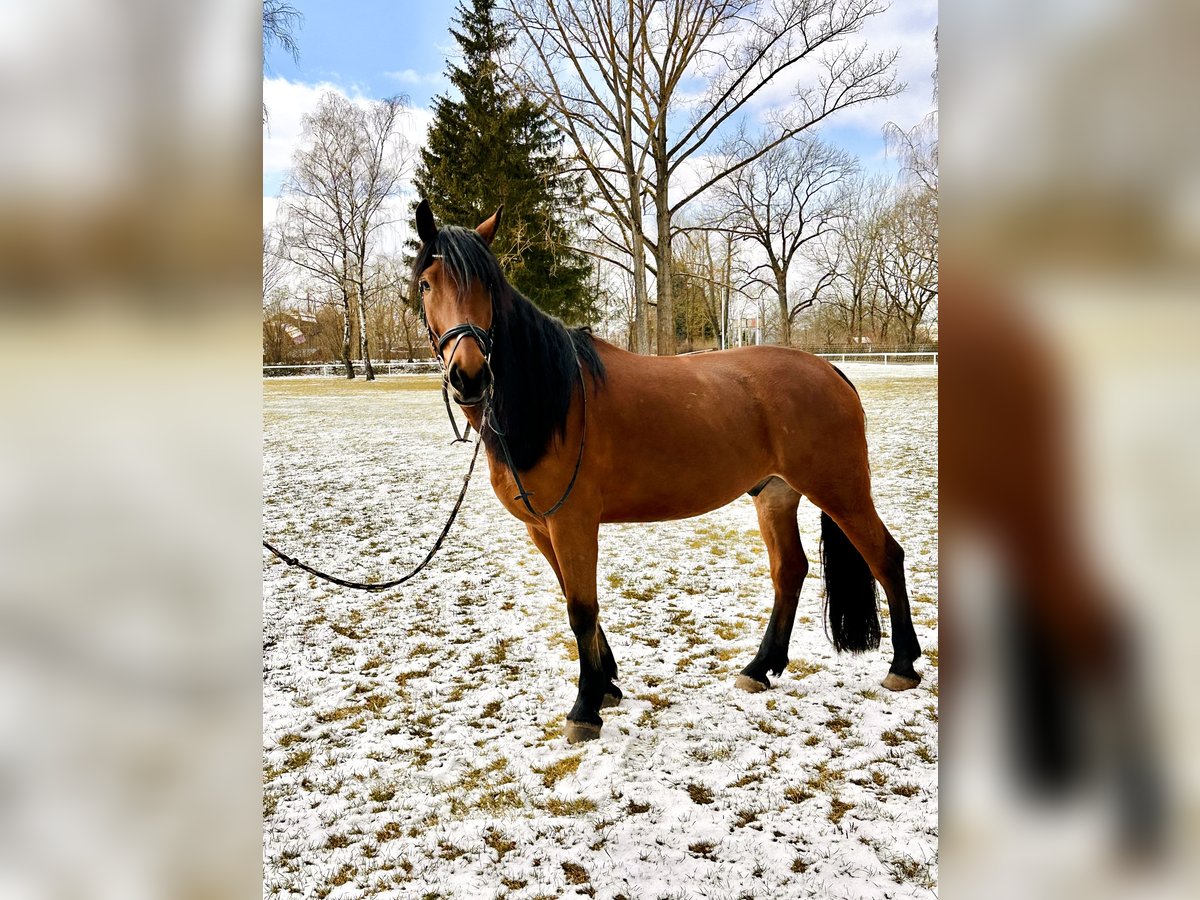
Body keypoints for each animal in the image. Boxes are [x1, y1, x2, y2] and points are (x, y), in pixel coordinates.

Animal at [410, 202, 916, 748]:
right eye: (427, 284)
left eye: (487, 284)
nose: (469, 375)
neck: (554, 399)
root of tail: (831, 370)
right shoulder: (541, 528)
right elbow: (576, 602)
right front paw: (607, 685)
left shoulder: (572, 523)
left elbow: (581, 608)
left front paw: (585, 708)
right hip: (775, 495)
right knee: (791, 571)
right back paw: (759, 668)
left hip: (841, 491)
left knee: (886, 558)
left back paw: (903, 666)